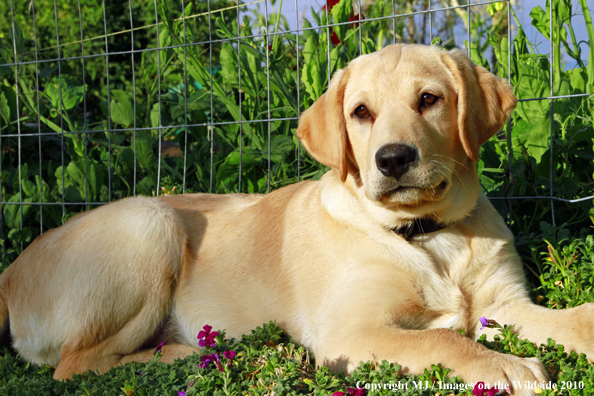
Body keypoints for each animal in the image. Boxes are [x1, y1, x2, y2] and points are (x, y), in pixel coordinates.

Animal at [1, 44, 592, 392]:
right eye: (360, 112)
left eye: (430, 99)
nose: (393, 159)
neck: (425, 233)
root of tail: (8, 275)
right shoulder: (350, 331)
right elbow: (442, 341)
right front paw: (506, 366)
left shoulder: (503, 305)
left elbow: (573, 319)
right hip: (148, 221)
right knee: (75, 365)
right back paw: (185, 355)